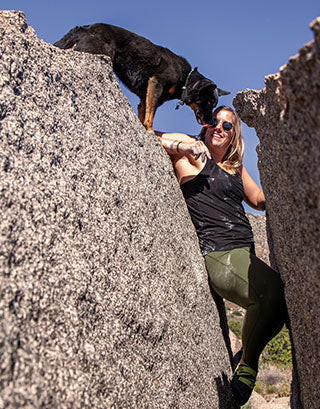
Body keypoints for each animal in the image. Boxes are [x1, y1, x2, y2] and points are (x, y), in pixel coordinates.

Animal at [55, 23, 230, 131]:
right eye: (208, 103)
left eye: (214, 105)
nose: (212, 122)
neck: (185, 79)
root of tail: (85, 27)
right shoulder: (156, 84)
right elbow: (150, 117)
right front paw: (151, 132)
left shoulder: (144, 99)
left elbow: (144, 115)